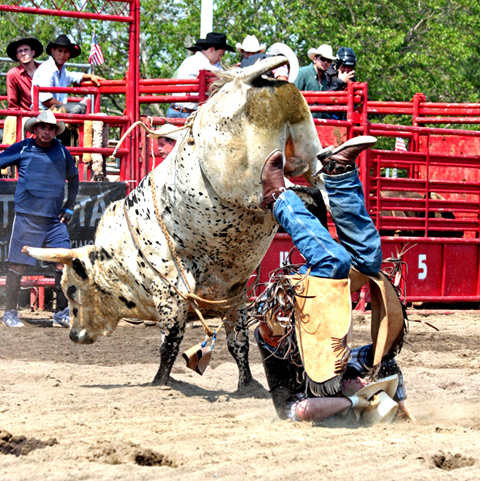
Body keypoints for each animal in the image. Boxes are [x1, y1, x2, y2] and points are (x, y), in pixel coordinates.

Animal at [20, 55, 324, 386]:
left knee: (285, 192)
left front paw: (159, 382)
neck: (122, 254)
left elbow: (170, 343)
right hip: (309, 155)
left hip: (246, 183)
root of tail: (242, 81)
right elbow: (238, 342)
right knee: (320, 185)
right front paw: (246, 383)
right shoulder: (233, 297)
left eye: (71, 289)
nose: (75, 335)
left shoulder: (169, 293)